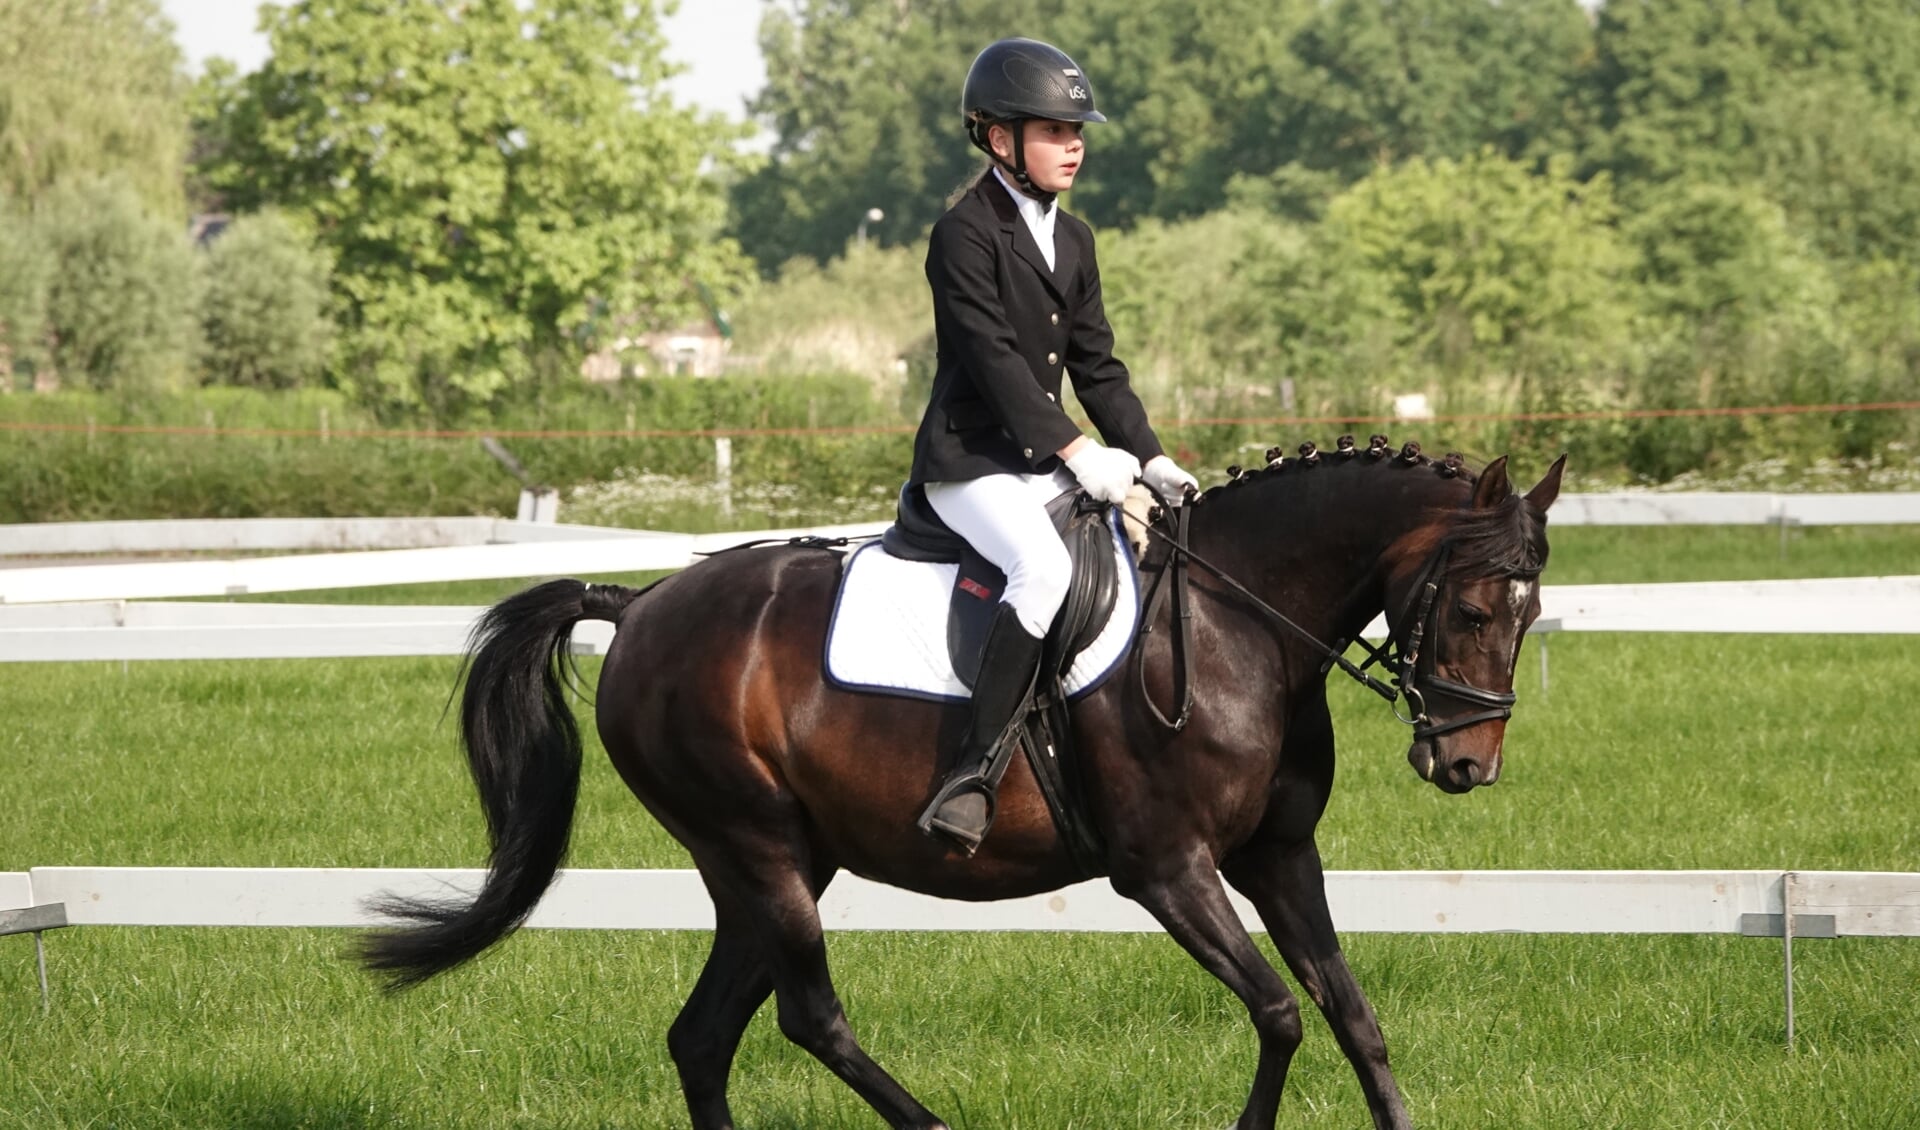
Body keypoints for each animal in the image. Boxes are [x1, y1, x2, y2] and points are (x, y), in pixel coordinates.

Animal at [360, 439, 1559, 1128]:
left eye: (1531, 611)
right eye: (1470, 607)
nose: (1468, 764)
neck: (1239, 623)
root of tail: (642, 602)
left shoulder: (1277, 856)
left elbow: (1352, 1018)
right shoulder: (1168, 870)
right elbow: (1278, 1014)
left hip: (773, 866)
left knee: (704, 1037)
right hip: (757, 851)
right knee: (812, 1019)